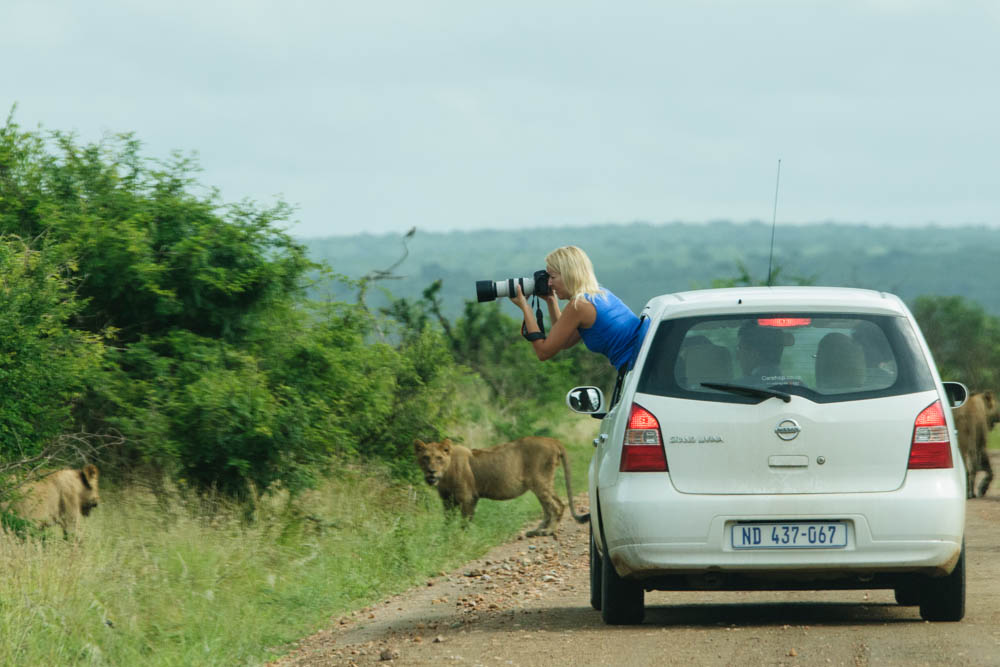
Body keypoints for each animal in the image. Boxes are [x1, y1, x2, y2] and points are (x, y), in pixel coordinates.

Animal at [412, 438, 588, 536]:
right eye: (425, 458)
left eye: (439, 458)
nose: (431, 472)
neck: (445, 475)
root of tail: (552, 440)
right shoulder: (447, 500)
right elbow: (448, 521)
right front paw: (445, 537)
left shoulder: (467, 497)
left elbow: (465, 522)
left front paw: (461, 539)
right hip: (540, 484)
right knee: (550, 507)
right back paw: (537, 531)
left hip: (540, 481)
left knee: (557, 505)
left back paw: (548, 531)